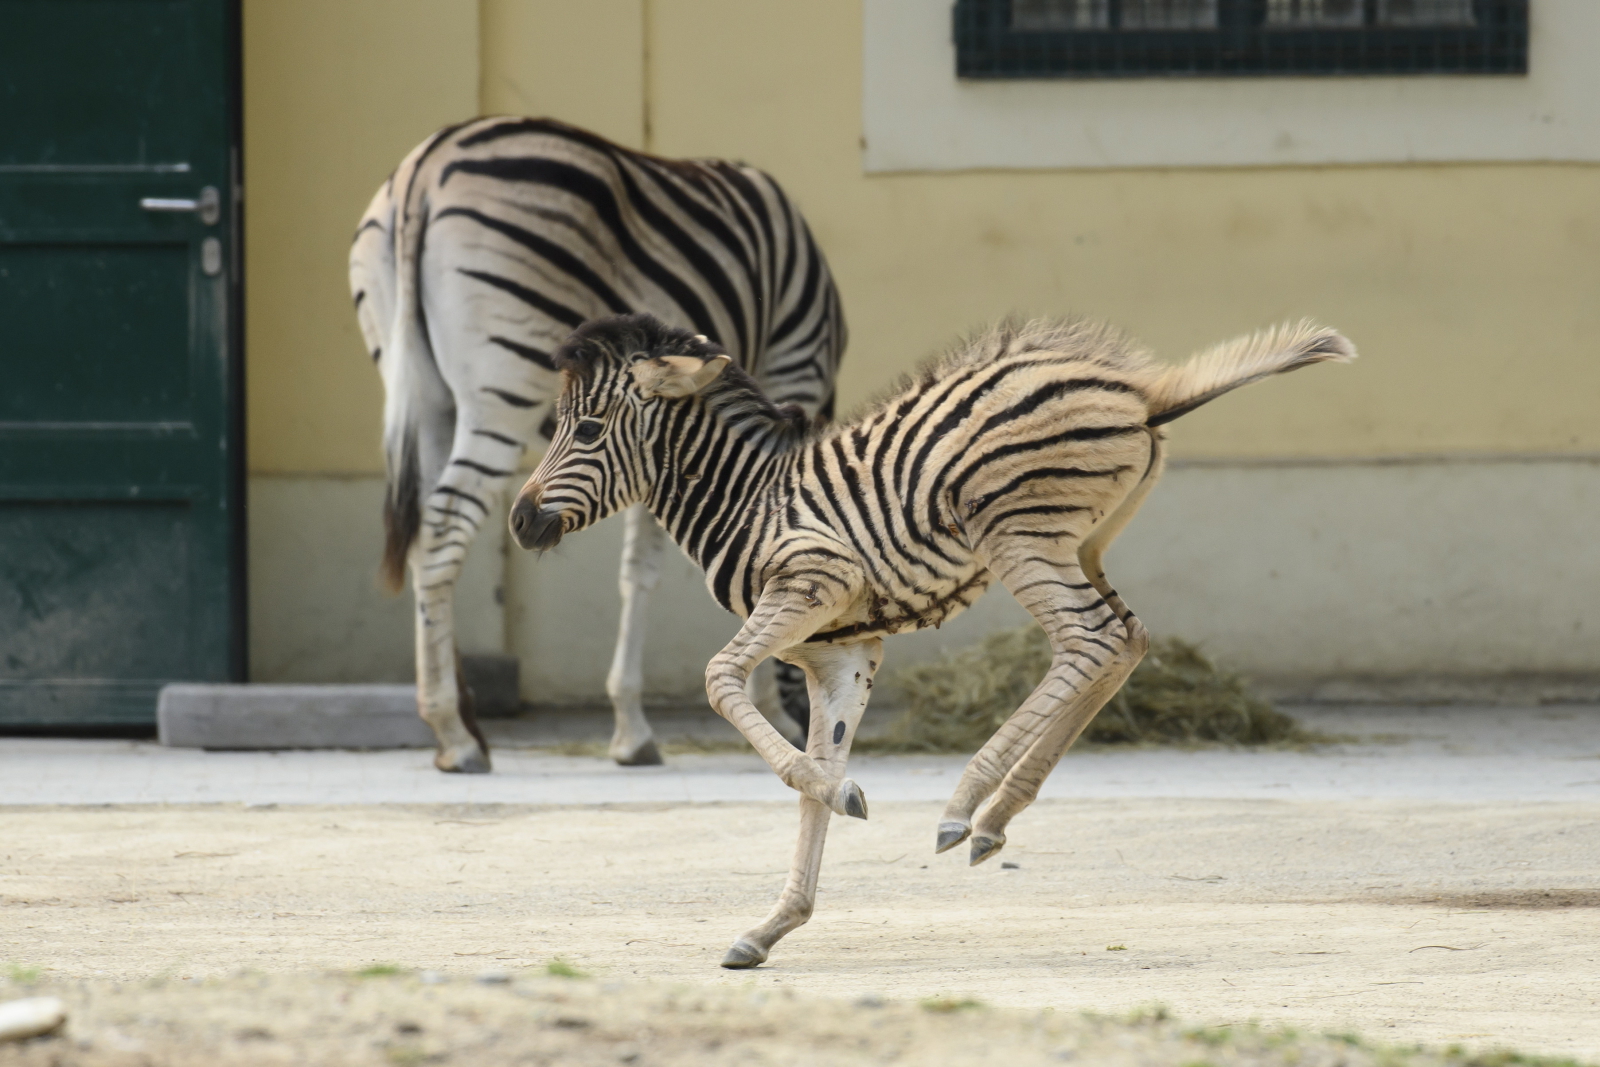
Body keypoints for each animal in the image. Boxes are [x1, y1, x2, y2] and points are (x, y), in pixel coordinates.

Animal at [347, 116, 851, 771]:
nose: (803, 710)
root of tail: (421, 172)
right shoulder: (786, 373)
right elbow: (706, 556)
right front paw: (645, 728)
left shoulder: (652, 440)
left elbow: (645, 567)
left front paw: (631, 723)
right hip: (503, 386)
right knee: (442, 525)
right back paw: (453, 733)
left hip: (422, 389)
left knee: (423, 538)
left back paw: (461, 723)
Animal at [508, 308, 1350, 966]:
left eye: (586, 429)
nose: (519, 521)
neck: (750, 500)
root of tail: (1141, 392)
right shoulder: (839, 649)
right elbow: (812, 773)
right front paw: (774, 923)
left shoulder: (811, 585)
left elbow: (723, 682)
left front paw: (843, 799)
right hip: (1083, 541)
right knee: (1129, 639)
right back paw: (998, 817)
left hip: (1020, 533)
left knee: (1089, 641)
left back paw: (965, 804)